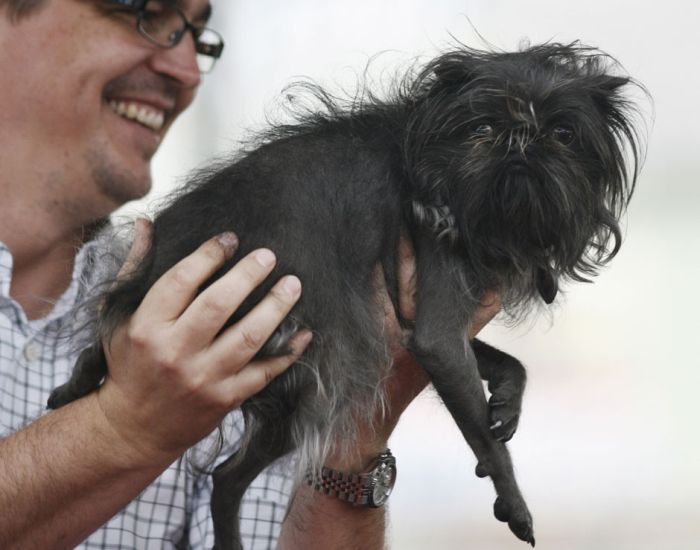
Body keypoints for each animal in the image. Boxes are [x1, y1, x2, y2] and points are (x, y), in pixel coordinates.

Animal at [46, 41, 644, 548]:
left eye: (564, 135)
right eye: (482, 127)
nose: (521, 139)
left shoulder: (417, 322)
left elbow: (507, 365)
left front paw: (506, 401)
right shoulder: (435, 328)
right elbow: (488, 441)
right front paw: (515, 503)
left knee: (219, 473)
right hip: (297, 361)